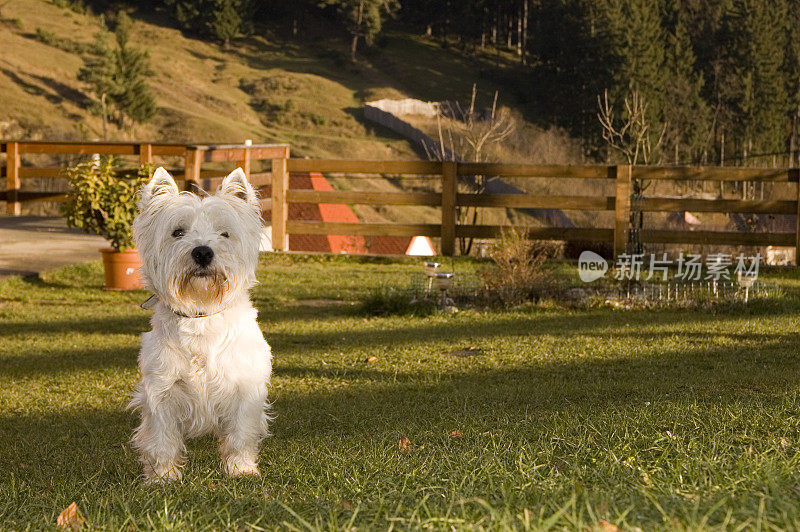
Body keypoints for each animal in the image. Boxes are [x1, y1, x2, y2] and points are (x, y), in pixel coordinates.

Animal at [129, 166, 272, 482]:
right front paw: (163, 477)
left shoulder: (244, 388)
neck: (201, 317)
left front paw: (241, 470)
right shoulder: (161, 390)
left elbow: (240, 435)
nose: (203, 252)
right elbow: (162, 439)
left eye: (225, 233)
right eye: (177, 232)